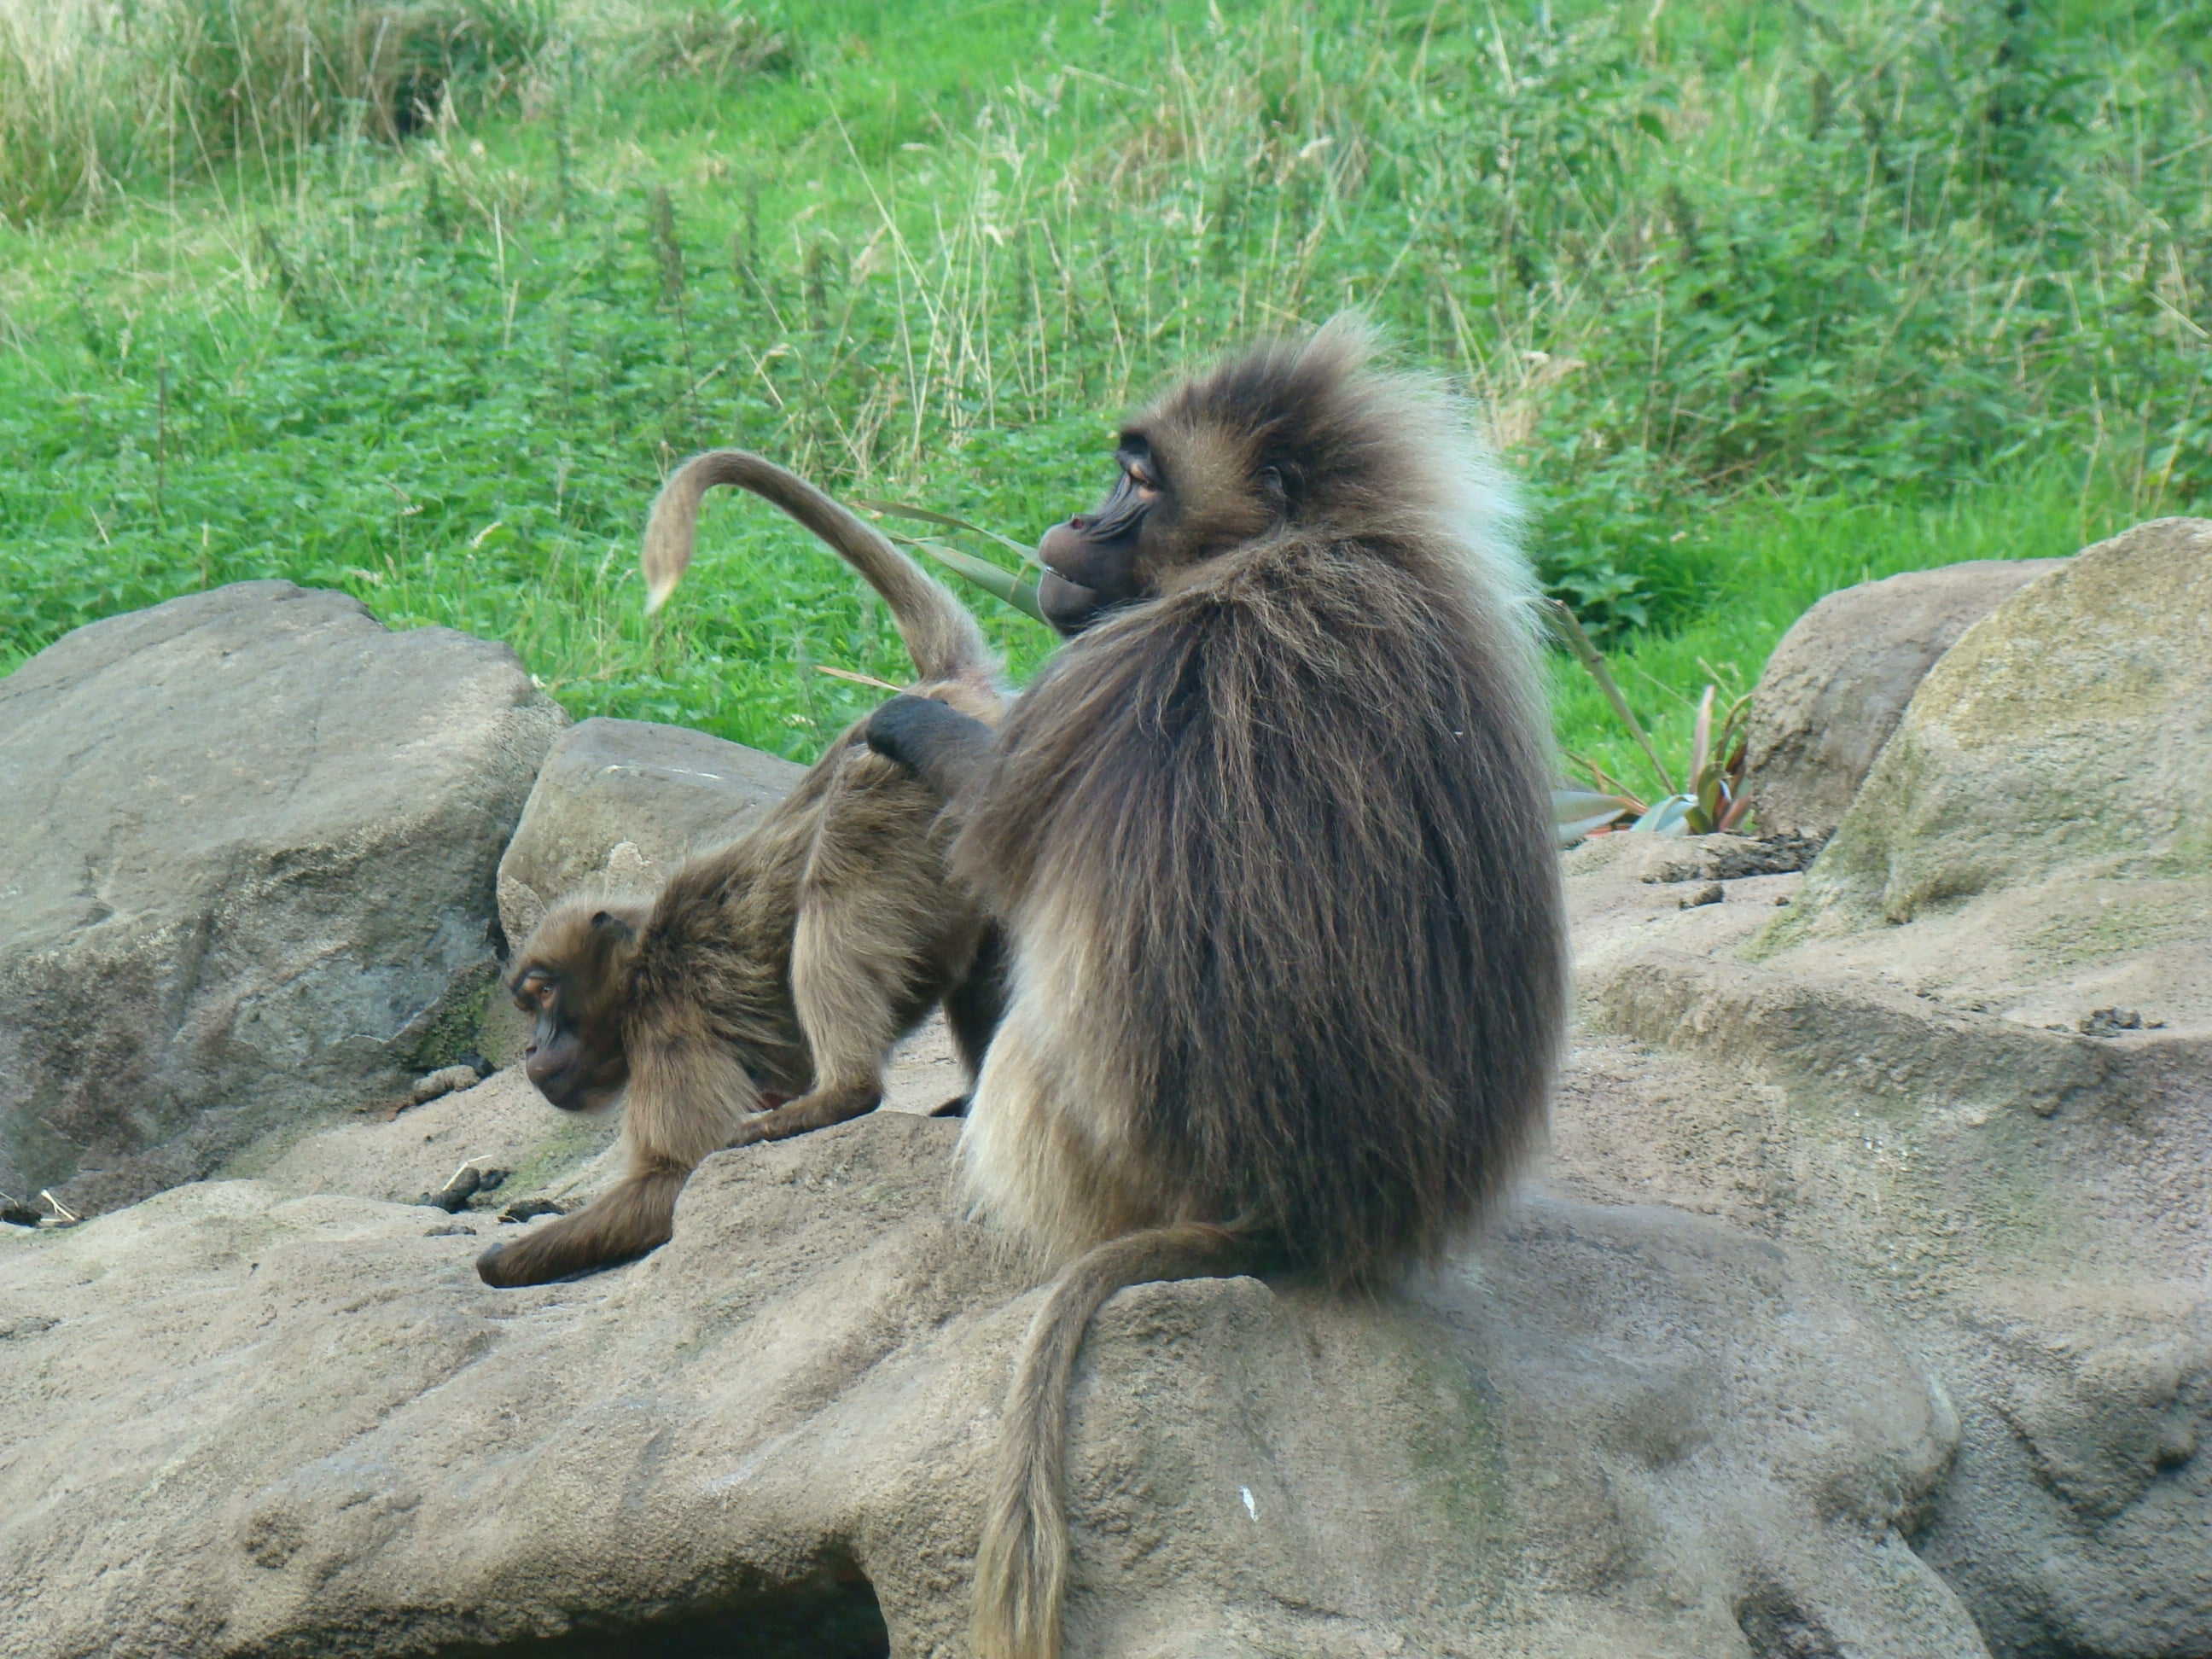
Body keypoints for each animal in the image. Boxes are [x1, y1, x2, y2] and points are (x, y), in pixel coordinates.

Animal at [475, 453, 1007, 1290]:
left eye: (544, 997)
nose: (531, 1051)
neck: (643, 961)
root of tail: (943, 691)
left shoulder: (670, 1029)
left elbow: (673, 1178)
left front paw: (501, 1255)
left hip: (901, 783)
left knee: (840, 869)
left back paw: (838, 1098)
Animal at [862, 319, 1569, 1659]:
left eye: (1139, 481)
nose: (1067, 526)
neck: (1310, 546)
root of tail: (1278, 1213)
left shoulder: (1122, 660)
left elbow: (991, 825)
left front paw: (908, 724)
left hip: (1090, 1155)